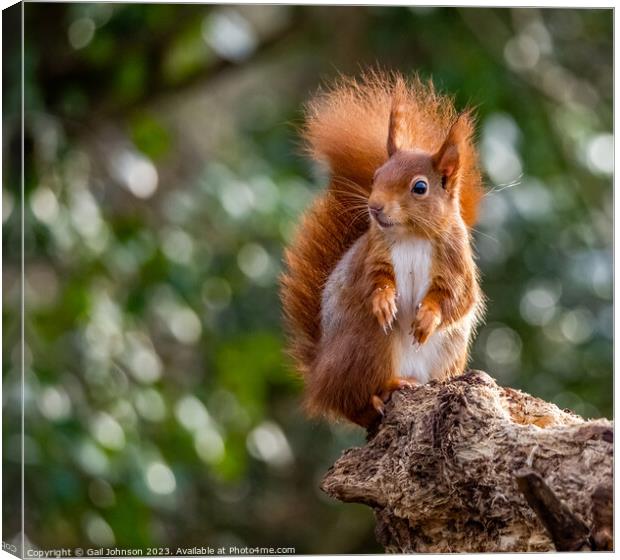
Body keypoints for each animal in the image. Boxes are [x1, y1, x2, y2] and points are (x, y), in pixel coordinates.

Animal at [280, 72, 484, 426]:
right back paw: (387, 389)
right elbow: (372, 281)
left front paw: (427, 318)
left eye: (420, 187)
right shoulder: (371, 256)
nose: (374, 207)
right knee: (355, 403)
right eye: (376, 175)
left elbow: (456, 298)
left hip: (448, 350)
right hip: (366, 343)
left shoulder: (457, 262)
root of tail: (320, 373)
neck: (411, 236)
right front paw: (383, 300)